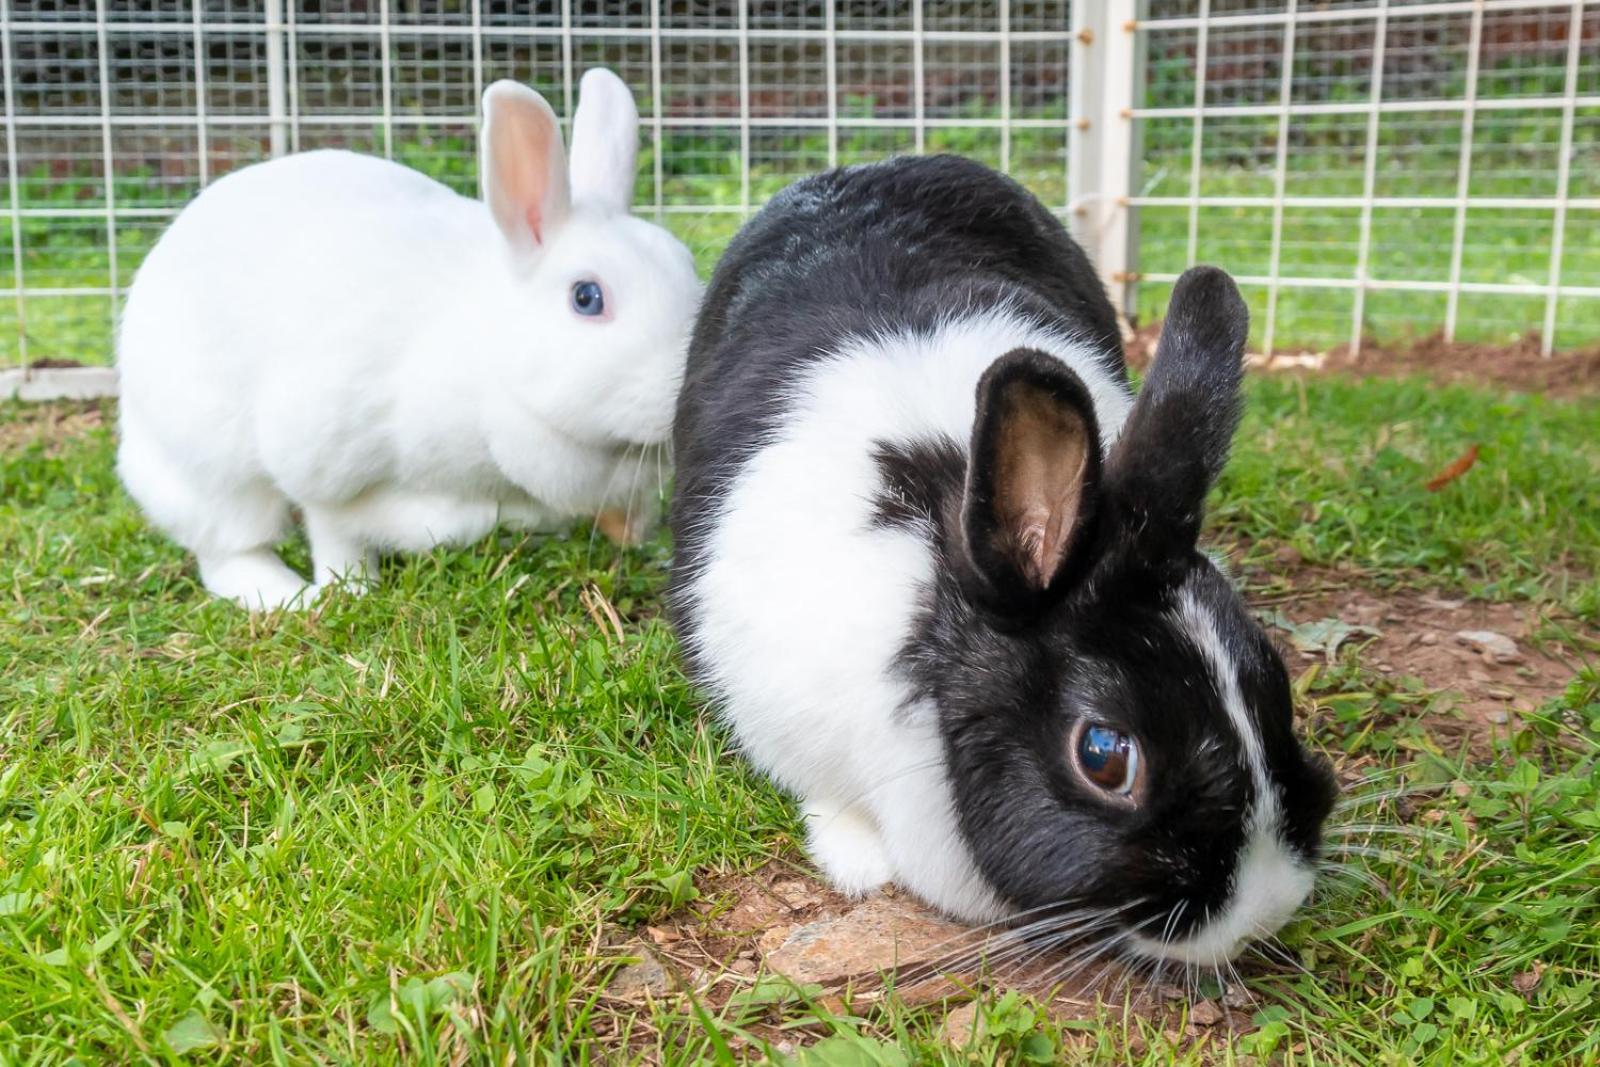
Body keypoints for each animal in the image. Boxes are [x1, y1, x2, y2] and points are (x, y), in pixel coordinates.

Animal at [120, 68, 700, 607]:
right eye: (586, 297)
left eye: (687, 266)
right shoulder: (324, 463)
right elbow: (336, 534)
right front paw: (352, 591)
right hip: (211, 475)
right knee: (227, 549)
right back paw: (284, 594)